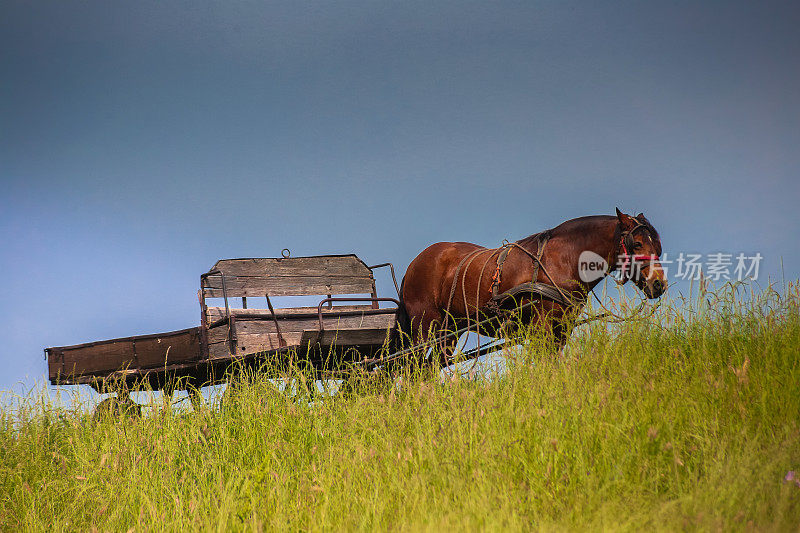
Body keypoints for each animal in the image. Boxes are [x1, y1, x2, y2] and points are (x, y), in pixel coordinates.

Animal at [396, 207, 668, 362]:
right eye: (636, 244)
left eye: (657, 246)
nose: (659, 285)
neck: (562, 260)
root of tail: (414, 264)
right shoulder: (542, 327)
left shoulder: (562, 328)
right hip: (424, 327)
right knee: (413, 369)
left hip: (451, 330)